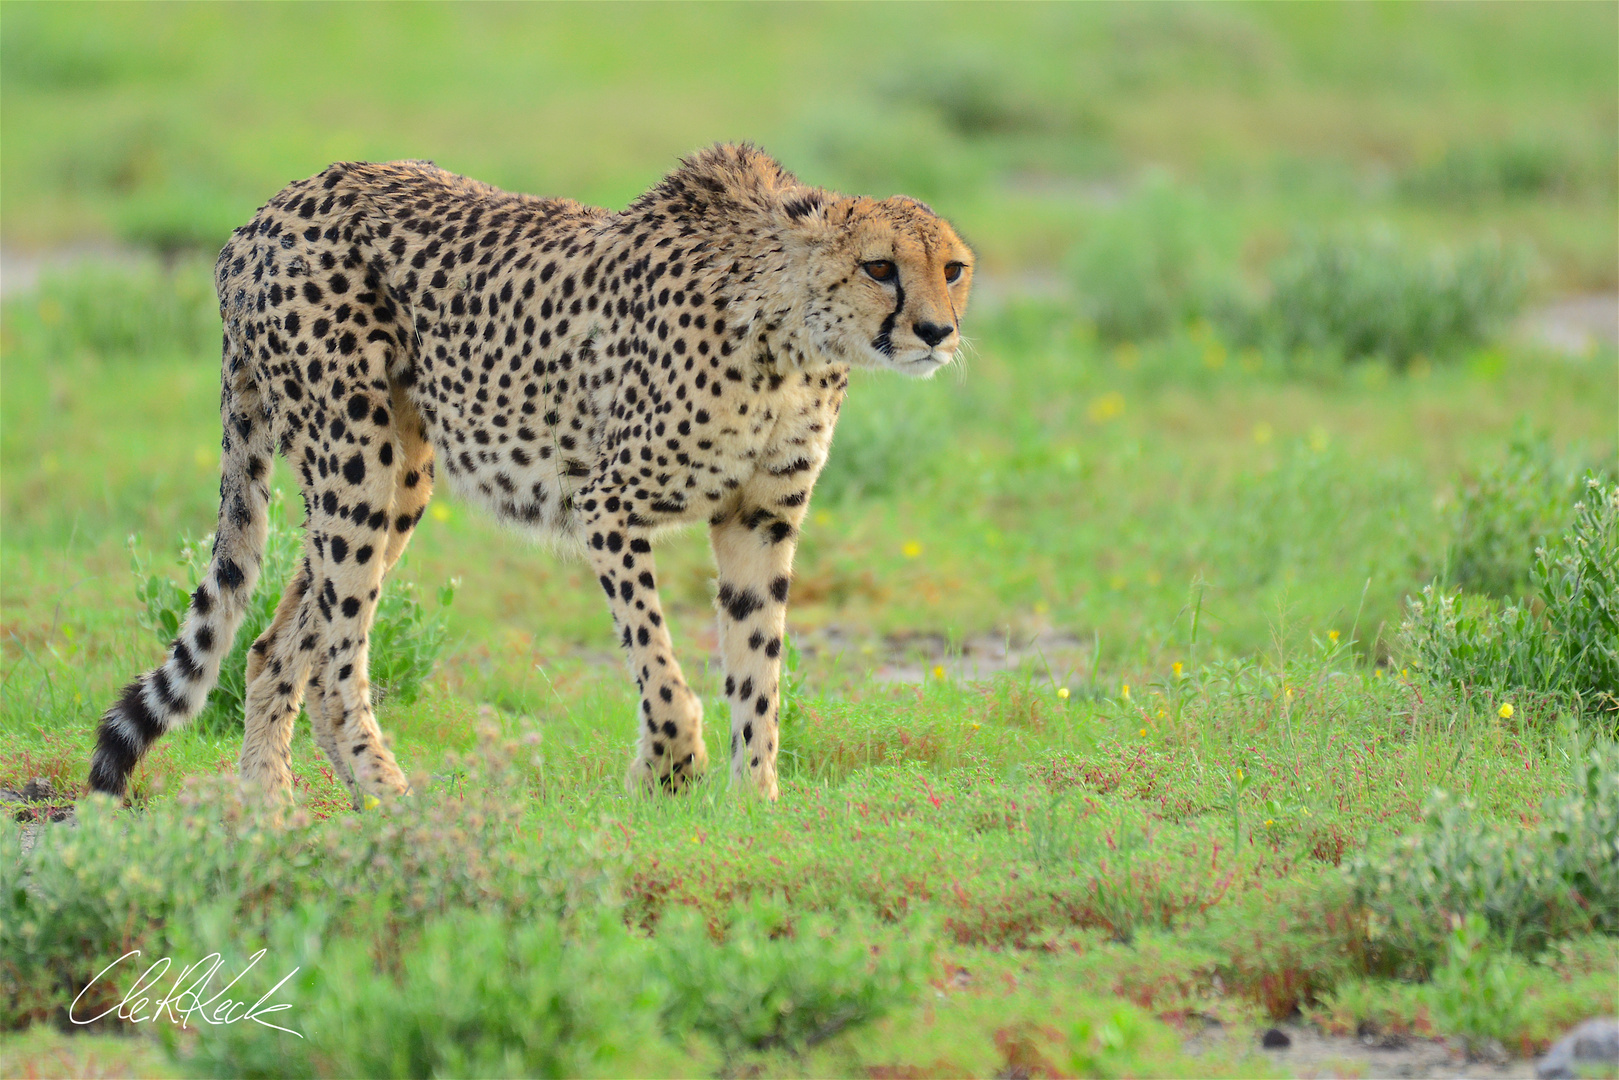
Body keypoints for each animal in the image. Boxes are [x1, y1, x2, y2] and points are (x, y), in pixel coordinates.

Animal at [88, 141, 964, 803]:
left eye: (952, 269)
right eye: (879, 267)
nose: (936, 332)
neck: (791, 332)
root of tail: (262, 217)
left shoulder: (758, 518)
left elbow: (757, 669)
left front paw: (753, 808)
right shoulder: (607, 503)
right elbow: (659, 666)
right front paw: (667, 769)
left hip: (401, 474)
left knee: (274, 647)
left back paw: (267, 816)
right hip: (355, 458)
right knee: (335, 666)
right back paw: (396, 806)